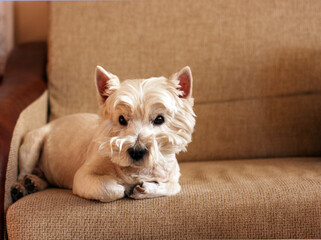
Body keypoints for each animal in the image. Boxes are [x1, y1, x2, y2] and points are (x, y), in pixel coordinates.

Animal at [10, 66, 194, 202]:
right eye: (121, 119)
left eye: (159, 119)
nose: (137, 151)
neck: (137, 170)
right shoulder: (83, 176)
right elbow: (113, 189)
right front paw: (123, 186)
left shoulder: (173, 175)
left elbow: (173, 187)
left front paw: (146, 188)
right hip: (32, 145)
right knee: (22, 172)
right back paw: (23, 186)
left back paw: (34, 182)